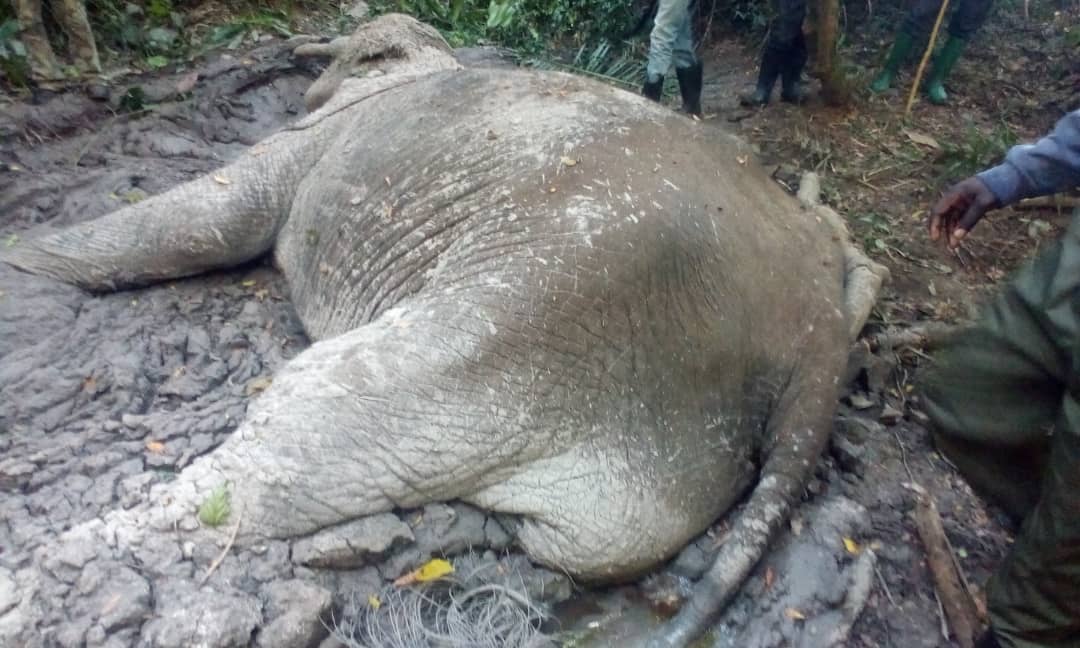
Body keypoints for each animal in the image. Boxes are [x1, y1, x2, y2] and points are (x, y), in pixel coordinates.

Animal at [2, 11, 885, 648]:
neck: (430, 60)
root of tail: (814, 334)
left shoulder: (309, 146)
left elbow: (207, 217)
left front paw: (17, 256)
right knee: (590, 546)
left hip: (544, 305)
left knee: (316, 408)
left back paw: (64, 560)